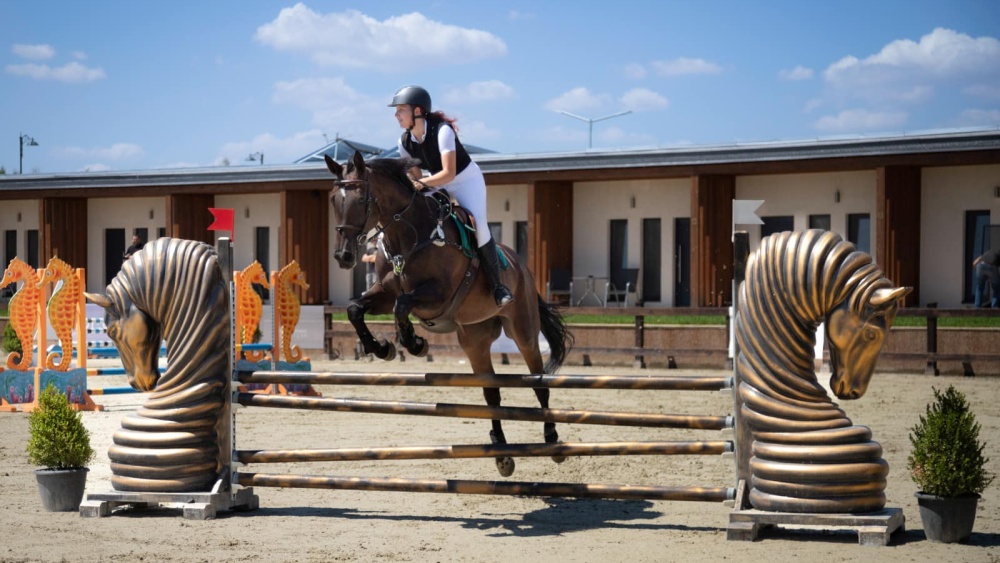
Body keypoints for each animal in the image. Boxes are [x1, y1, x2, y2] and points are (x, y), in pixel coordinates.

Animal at [328, 152, 576, 478]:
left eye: (360, 199)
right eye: (333, 199)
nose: (343, 257)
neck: (407, 236)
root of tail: (520, 264)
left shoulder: (437, 295)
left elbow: (403, 305)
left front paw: (414, 343)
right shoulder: (384, 292)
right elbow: (356, 309)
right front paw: (382, 348)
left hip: (523, 331)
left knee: (538, 383)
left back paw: (551, 439)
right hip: (475, 340)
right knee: (491, 394)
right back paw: (502, 454)